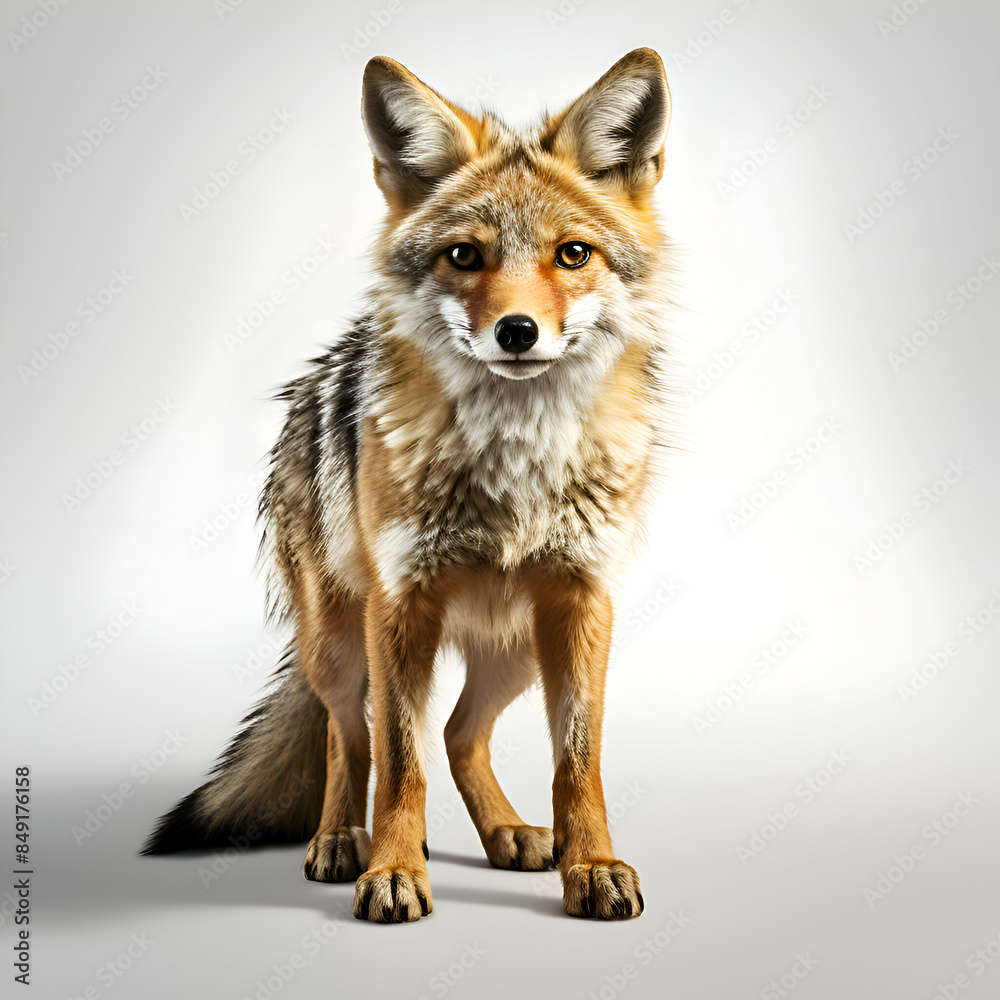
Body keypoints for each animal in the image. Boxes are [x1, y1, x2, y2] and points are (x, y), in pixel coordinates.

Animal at [143, 47, 673, 923]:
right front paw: (393, 871)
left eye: (572, 255)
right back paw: (338, 842)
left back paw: (508, 833)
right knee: (348, 735)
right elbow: (398, 761)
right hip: (338, 644)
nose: (518, 332)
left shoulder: (582, 600)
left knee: (460, 734)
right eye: (464, 255)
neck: (512, 471)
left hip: (517, 649)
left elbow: (577, 762)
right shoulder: (402, 603)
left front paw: (592, 864)